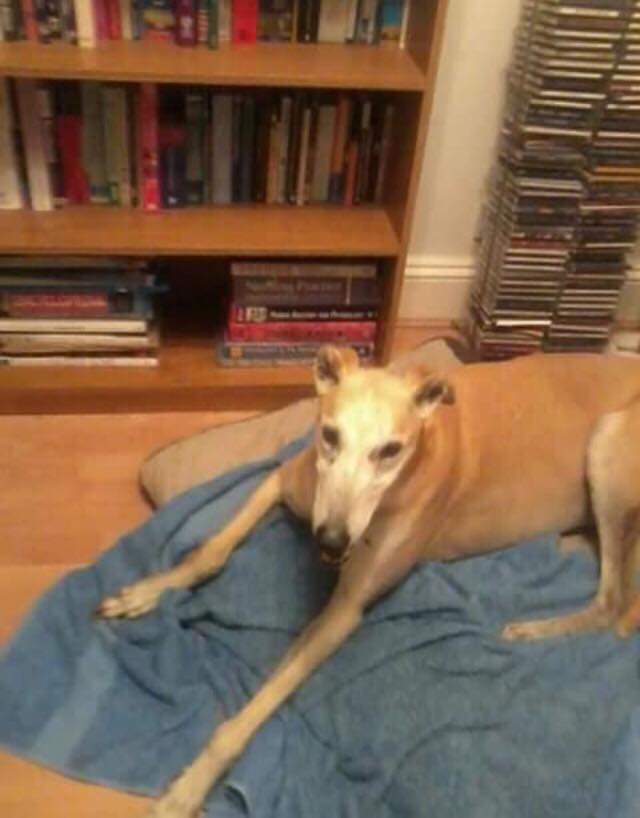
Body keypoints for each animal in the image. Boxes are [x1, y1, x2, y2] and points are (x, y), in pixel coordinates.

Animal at [97, 346, 640, 816]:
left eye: (390, 450)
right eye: (329, 435)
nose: (332, 541)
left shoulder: (344, 612)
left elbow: (254, 709)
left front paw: (188, 789)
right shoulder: (281, 483)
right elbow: (211, 551)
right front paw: (146, 591)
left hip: (608, 442)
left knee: (614, 606)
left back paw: (530, 629)